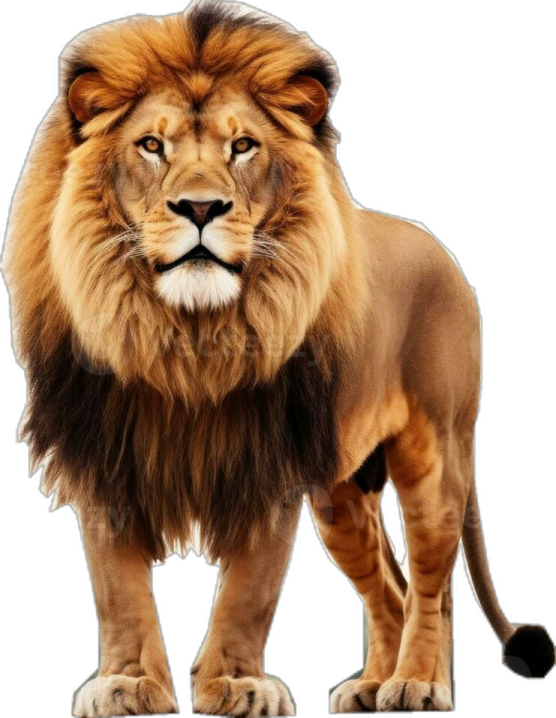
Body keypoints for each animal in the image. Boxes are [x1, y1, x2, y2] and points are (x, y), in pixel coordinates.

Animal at [3, 1, 554, 715]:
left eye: (243, 147)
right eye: (151, 146)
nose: (201, 206)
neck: (187, 336)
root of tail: (444, 253)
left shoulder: (268, 459)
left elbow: (250, 591)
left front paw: (237, 685)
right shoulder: (105, 452)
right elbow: (117, 592)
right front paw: (128, 683)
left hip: (436, 454)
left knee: (432, 586)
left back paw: (418, 683)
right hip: (343, 497)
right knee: (390, 586)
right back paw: (369, 685)